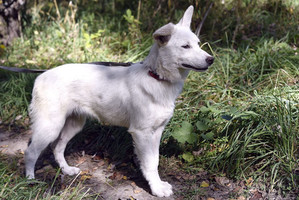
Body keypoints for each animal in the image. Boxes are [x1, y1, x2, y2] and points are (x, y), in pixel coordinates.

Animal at [25, 5, 213, 197]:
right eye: (185, 46)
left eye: (198, 44)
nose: (211, 59)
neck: (156, 77)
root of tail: (40, 77)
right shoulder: (142, 133)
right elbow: (149, 164)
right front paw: (156, 188)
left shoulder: (157, 131)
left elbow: (155, 160)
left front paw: (158, 184)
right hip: (51, 126)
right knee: (31, 151)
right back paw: (30, 180)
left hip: (74, 124)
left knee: (57, 148)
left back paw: (66, 170)